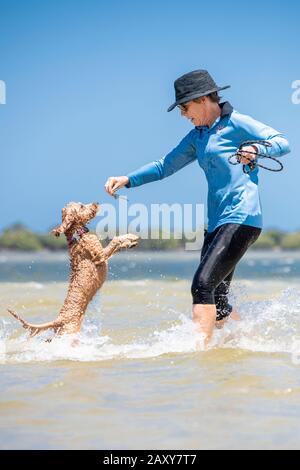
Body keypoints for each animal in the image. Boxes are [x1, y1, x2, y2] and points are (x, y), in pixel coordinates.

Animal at [7, 202, 138, 338]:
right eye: (81, 206)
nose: (96, 203)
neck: (77, 234)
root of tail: (58, 319)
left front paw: (131, 238)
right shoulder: (100, 257)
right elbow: (115, 241)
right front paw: (129, 239)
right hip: (69, 333)